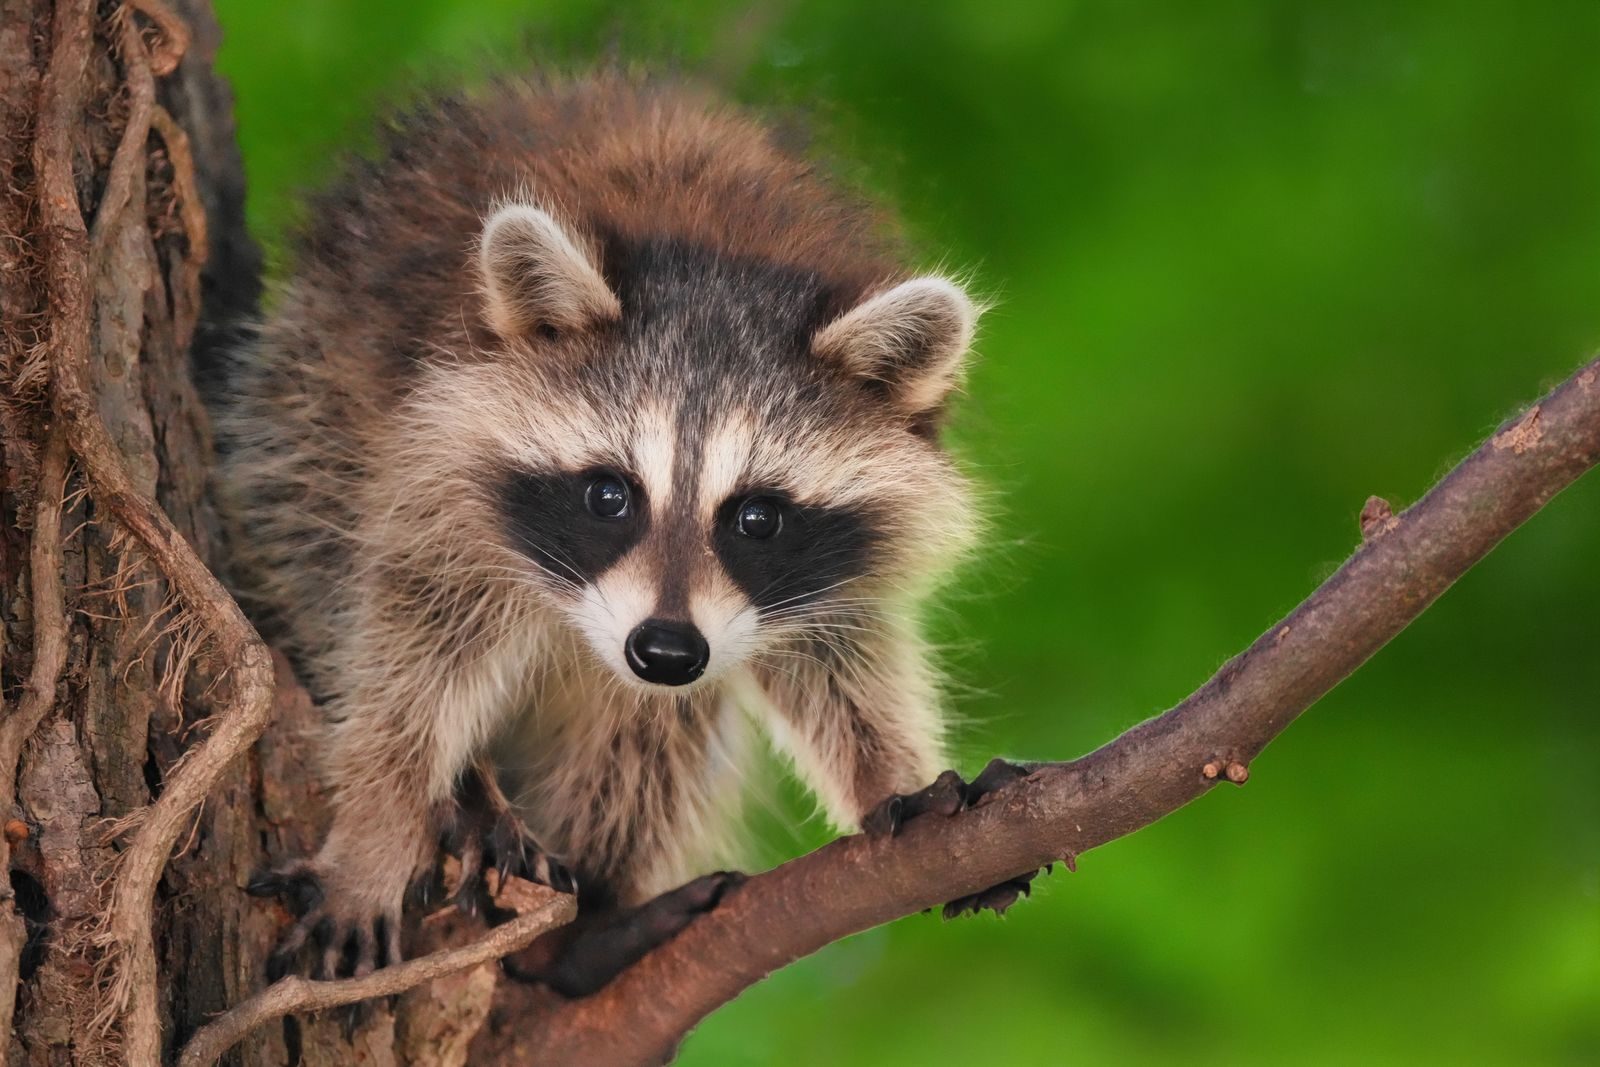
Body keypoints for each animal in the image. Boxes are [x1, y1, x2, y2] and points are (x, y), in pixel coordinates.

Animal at [219, 74, 1034, 993]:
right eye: (610, 494)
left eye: (756, 517)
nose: (666, 650)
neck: (715, 258)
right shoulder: (416, 458)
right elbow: (405, 643)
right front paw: (382, 822)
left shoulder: (818, 567)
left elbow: (837, 656)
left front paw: (890, 774)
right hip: (304, 388)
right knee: (312, 537)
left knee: (649, 731)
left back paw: (591, 925)